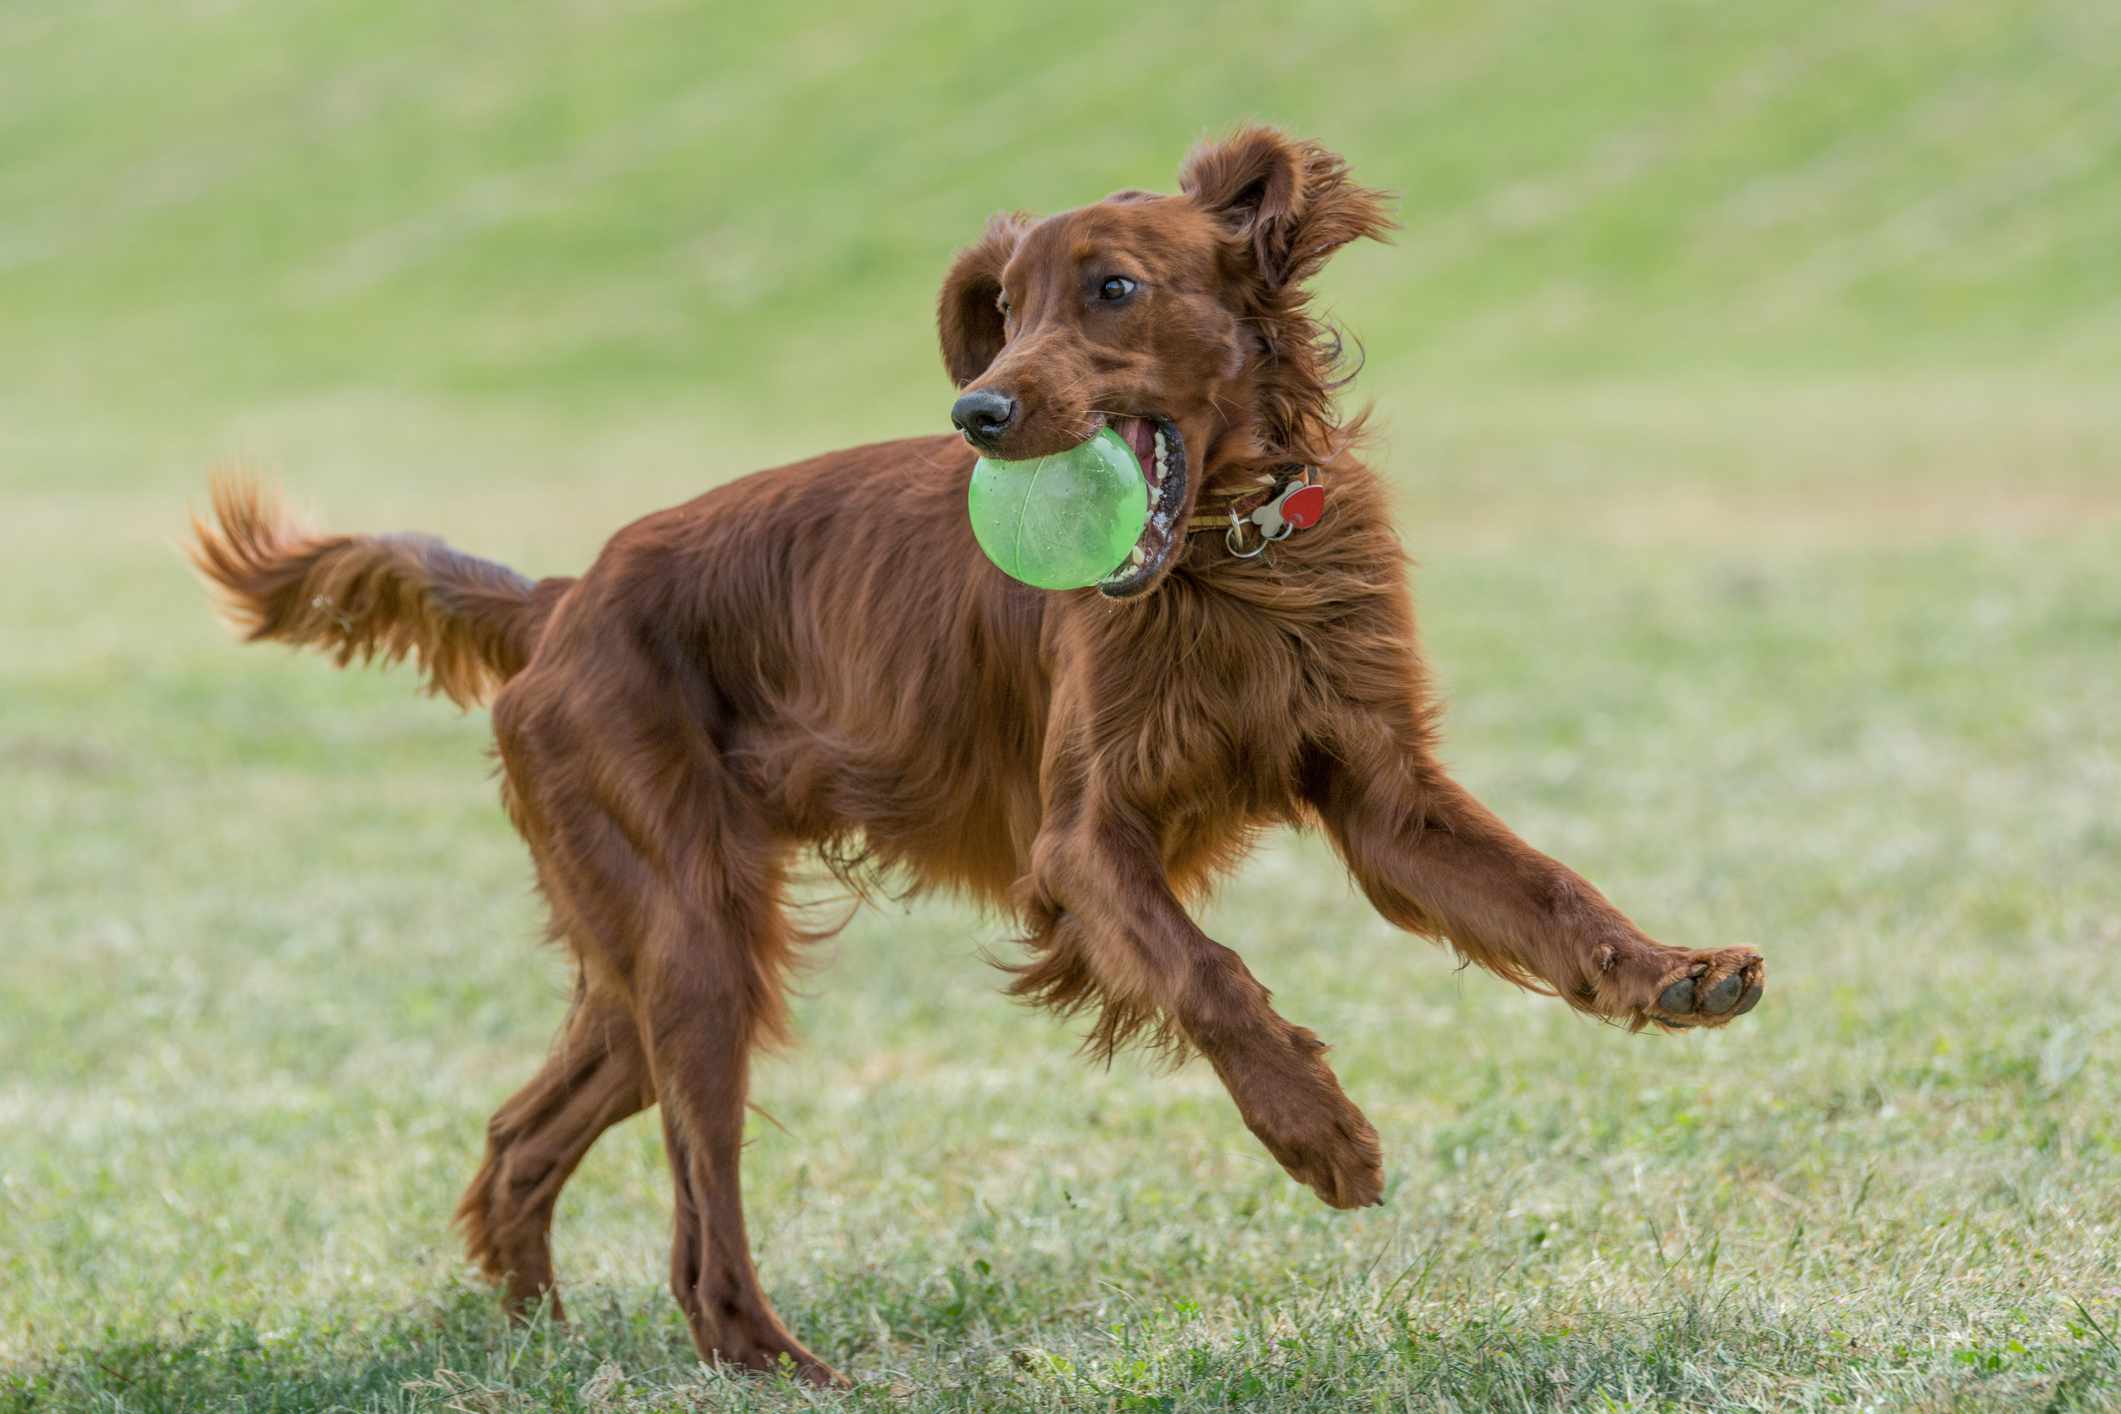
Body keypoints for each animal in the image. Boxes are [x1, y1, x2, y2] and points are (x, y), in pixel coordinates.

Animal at [190, 127, 1764, 1390]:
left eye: (1114, 288)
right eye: (1002, 312)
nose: (980, 412)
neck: (1228, 566)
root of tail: (563, 597)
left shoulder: (1387, 802)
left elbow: (1550, 895)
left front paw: (1673, 973)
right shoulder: (1083, 843)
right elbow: (1208, 970)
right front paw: (1317, 1132)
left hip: (658, 955)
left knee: (530, 1129)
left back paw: (536, 1336)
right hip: (693, 941)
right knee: (699, 1215)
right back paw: (772, 1357)